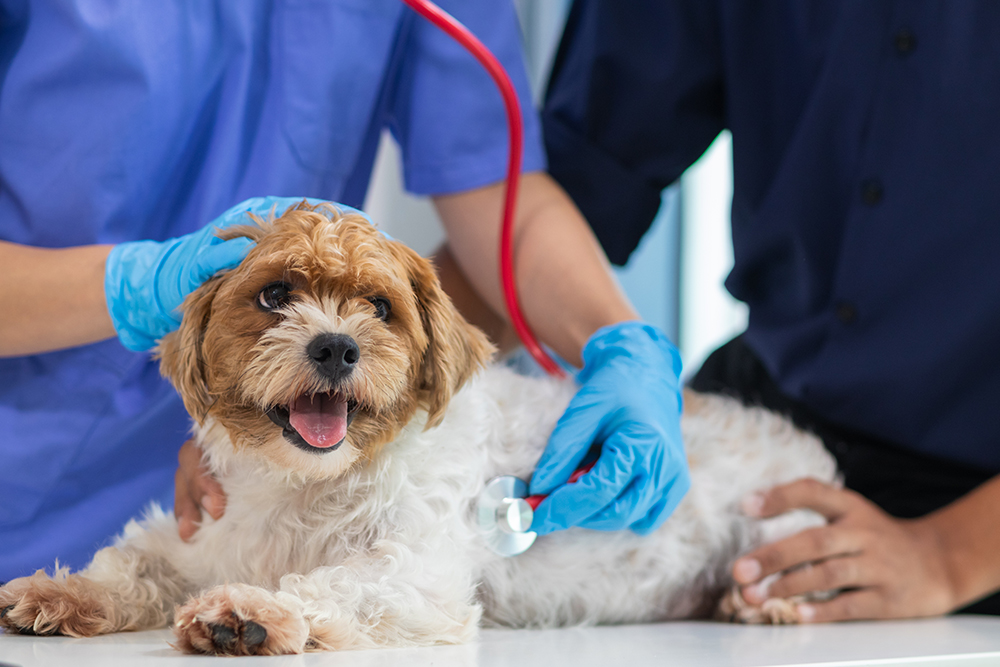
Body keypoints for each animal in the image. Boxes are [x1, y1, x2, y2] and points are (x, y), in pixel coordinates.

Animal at [0, 205, 836, 656]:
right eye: (274, 294)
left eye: (379, 306)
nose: (335, 345)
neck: (306, 484)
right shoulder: (201, 533)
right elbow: (130, 562)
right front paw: (59, 590)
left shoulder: (419, 569)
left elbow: (331, 582)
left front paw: (249, 612)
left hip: (783, 531)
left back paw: (763, 603)